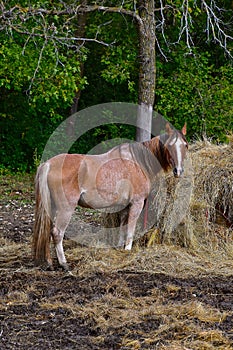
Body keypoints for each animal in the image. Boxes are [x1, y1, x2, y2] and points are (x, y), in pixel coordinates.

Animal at [32, 121, 187, 270]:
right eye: (169, 146)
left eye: (185, 145)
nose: (178, 171)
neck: (137, 162)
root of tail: (48, 164)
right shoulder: (136, 204)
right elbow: (130, 230)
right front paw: (127, 250)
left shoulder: (124, 206)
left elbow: (123, 227)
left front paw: (120, 248)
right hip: (66, 209)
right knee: (57, 233)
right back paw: (64, 263)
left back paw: (49, 262)